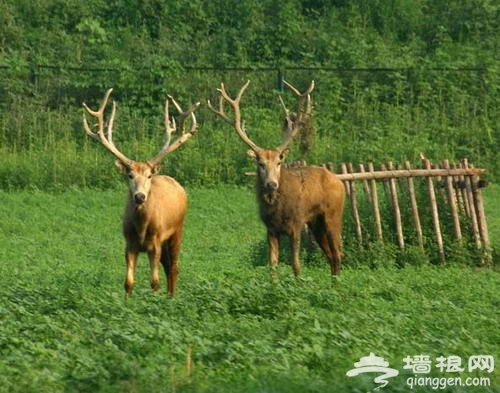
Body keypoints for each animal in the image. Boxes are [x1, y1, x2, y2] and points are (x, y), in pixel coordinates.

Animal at [82, 89, 199, 298]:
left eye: (149, 175)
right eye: (129, 175)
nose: (140, 196)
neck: (143, 228)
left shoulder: (155, 242)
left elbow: (154, 282)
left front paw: (153, 301)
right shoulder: (129, 243)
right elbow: (128, 282)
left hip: (177, 229)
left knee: (174, 266)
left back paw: (172, 297)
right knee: (168, 266)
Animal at [207, 79, 344, 276]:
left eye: (279, 162)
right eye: (260, 163)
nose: (271, 184)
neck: (278, 210)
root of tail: (339, 181)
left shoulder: (296, 223)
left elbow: (296, 264)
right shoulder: (270, 229)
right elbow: (272, 264)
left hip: (333, 214)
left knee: (338, 253)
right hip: (316, 223)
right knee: (331, 256)